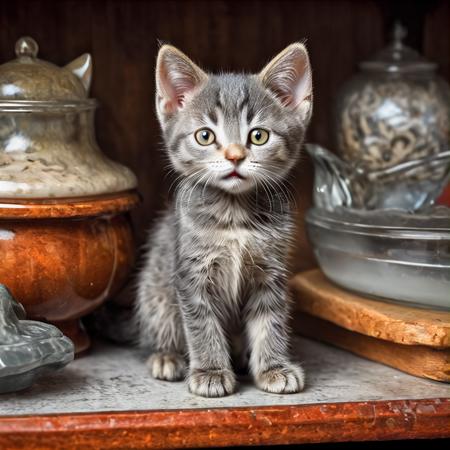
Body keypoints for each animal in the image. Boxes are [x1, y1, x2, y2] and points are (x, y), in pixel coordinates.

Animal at [137, 43, 312, 398]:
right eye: (205, 136)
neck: (234, 215)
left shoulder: (270, 271)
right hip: (156, 288)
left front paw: (274, 367)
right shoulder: (191, 275)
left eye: (258, 136)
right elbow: (202, 325)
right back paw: (166, 356)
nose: (234, 155)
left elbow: (270, 320)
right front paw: (210, 372)